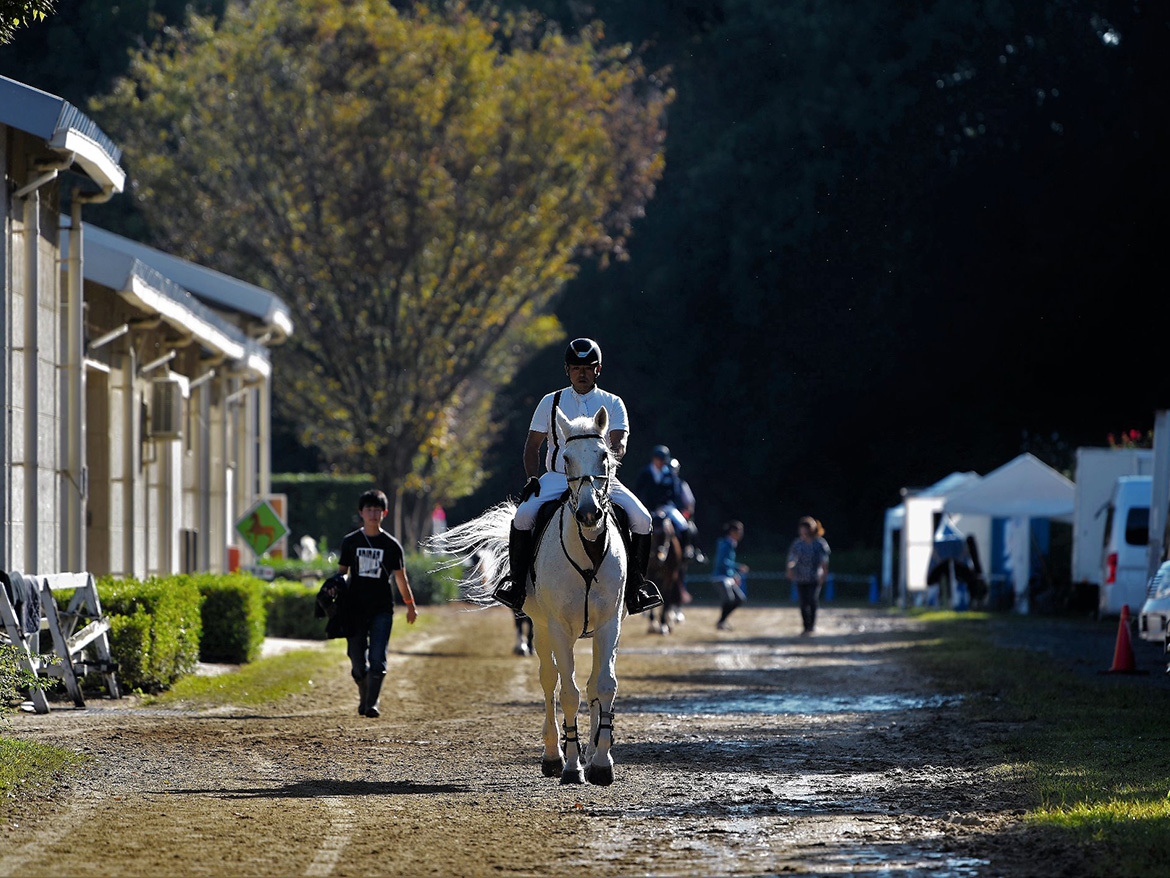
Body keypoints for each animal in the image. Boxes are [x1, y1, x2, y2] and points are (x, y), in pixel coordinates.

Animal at [428, 409, 627, 786]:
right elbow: (567, 692)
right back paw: (553, 756)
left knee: (591, 683)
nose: (589, 514)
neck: (589, 548)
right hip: (542, 626)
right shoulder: (559, 627)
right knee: (549, 681)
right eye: (566, 458)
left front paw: (601, 762)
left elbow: (605, 686)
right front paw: (572, 766)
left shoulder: (610, 623)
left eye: (604, 456)